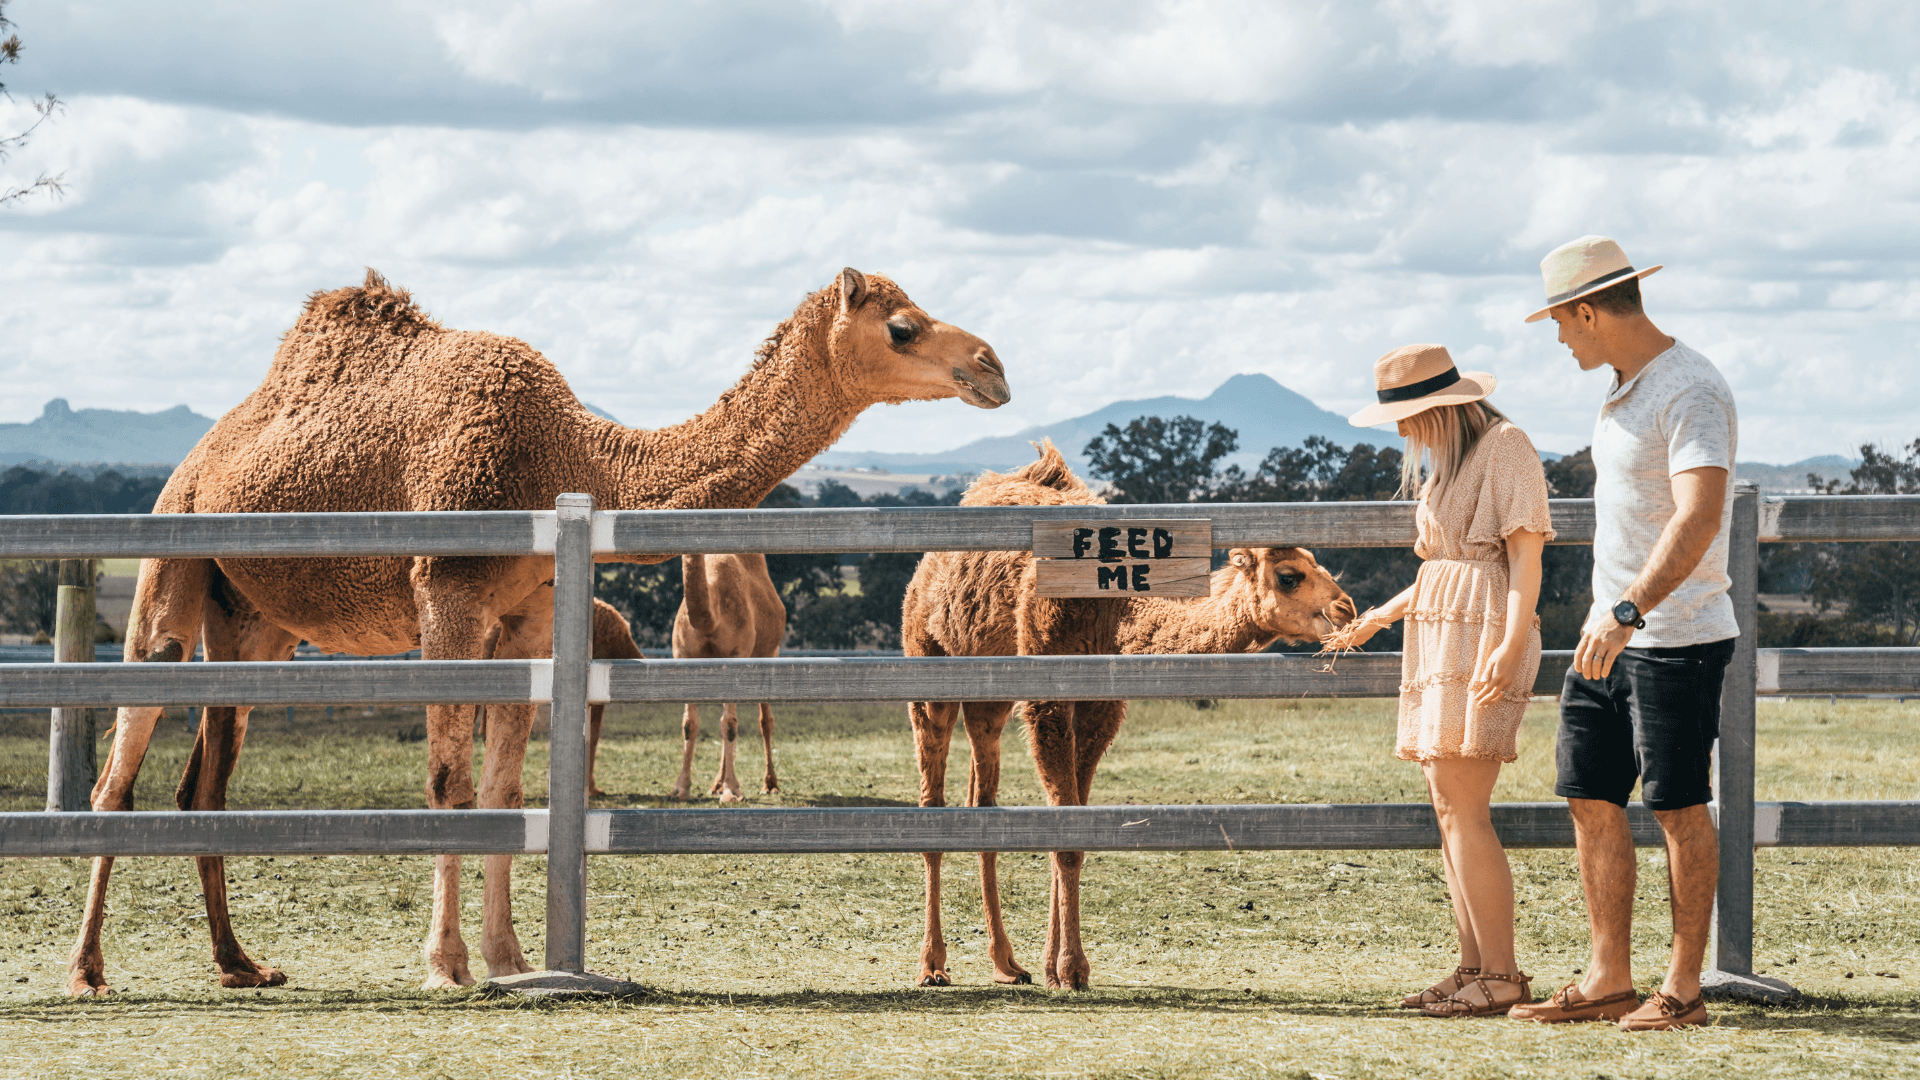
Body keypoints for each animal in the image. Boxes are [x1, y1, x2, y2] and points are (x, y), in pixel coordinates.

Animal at [669, 553, 787, 802]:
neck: (712, 621)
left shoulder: (737, 653)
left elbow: (731, 725)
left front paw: (732, 791)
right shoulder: (683, 654)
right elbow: (689, 724)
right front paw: (680, 788)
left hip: (770, 651)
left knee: (765, 720)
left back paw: (769, 784)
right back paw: (717, 785)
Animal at [900, 441, 1353, 989]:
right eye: (1289, 576)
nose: (1347, 609)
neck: (1111, 610)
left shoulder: (1100, 706)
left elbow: (1070, 824)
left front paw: (1052, 966)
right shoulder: (1048, 697)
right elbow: (1066, 837)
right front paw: (1073, 969)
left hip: (990, 694)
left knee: (981, 801)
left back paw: (1007, 963)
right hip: (928, 662)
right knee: (932, 798)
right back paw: (932, 964)